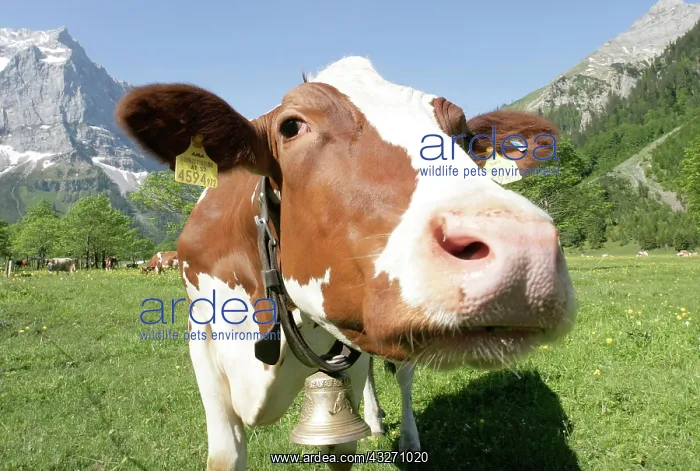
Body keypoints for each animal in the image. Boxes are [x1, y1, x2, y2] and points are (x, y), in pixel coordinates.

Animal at [116, 56, 576, 470]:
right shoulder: (203, 338)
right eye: (291, 126)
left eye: (462, 135)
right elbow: (225, 454)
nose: (522, 247)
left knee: (400, 377)